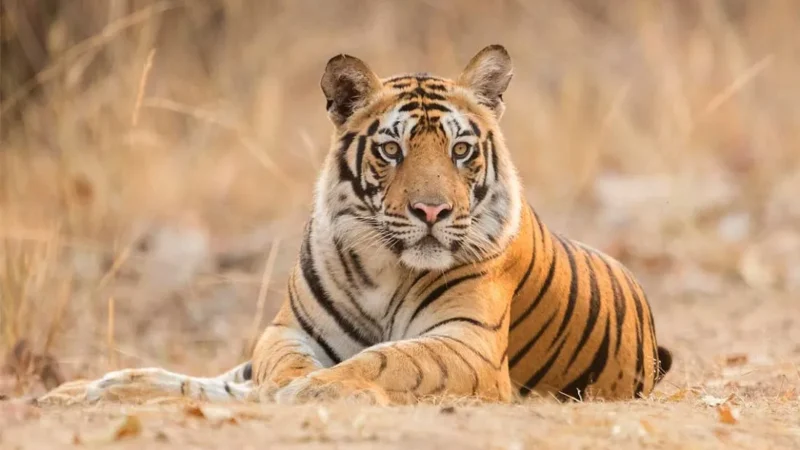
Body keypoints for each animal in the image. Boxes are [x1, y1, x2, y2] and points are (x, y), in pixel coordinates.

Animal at [40, 44, 672, 406]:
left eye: (461, 150)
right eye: (392, 150)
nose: (432, 212)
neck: (384, 268)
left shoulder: (466, 344)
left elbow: (391, 358)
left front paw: (316, 388)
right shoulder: (287, 330)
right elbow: (276, 364)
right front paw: (289, 385)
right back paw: (85, 390)